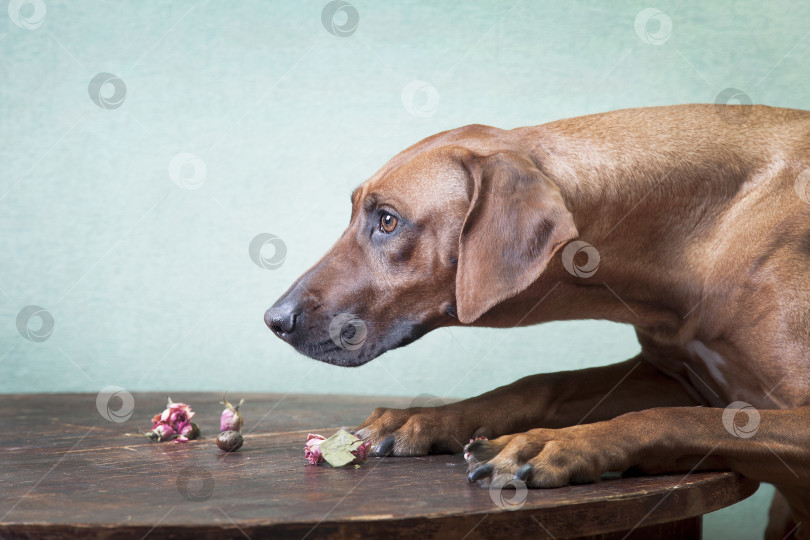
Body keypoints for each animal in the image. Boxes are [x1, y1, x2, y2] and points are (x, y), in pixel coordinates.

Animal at [266, 105, 808, 540]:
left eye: (388, 221)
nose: (274, 320)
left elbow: (676, 417)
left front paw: (562, 443)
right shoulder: (674, 375)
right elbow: (544, 382)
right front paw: (424, 418)